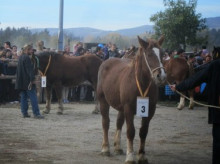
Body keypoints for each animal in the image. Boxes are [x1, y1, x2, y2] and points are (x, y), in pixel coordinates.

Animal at [97, 36, 166, 164]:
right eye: (149, 54)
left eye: (163, 54)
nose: (161, 76)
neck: (141, 84)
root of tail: (106, 61)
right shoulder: (128, 108)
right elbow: (130, 131)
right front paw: (130, 156)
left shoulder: (150, 110)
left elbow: (143, 131)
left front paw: (142, 155)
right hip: (103, 101)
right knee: (105, 123)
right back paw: (105, 148)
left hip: (121, 108)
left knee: (119, 122)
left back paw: (118, 147)